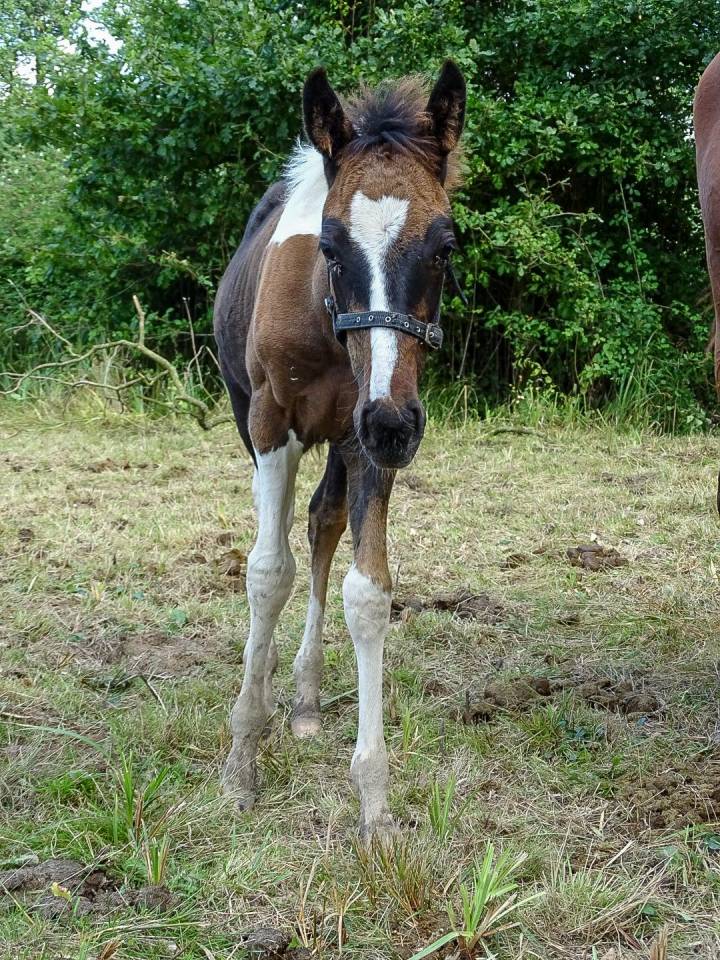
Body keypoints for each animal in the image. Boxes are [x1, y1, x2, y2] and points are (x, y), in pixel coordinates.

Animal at [213, 61, 466, 841]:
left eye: (445, 247)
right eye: (328, 245)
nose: (395, 424)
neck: (327, 328)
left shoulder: (364, 437)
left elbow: (366, 591)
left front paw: (374, 802)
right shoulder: (272, 424)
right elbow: (267, 573)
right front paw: (241, 762)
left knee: (322, 522)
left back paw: (302, 697)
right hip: (255, 416)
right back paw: (266, 682)